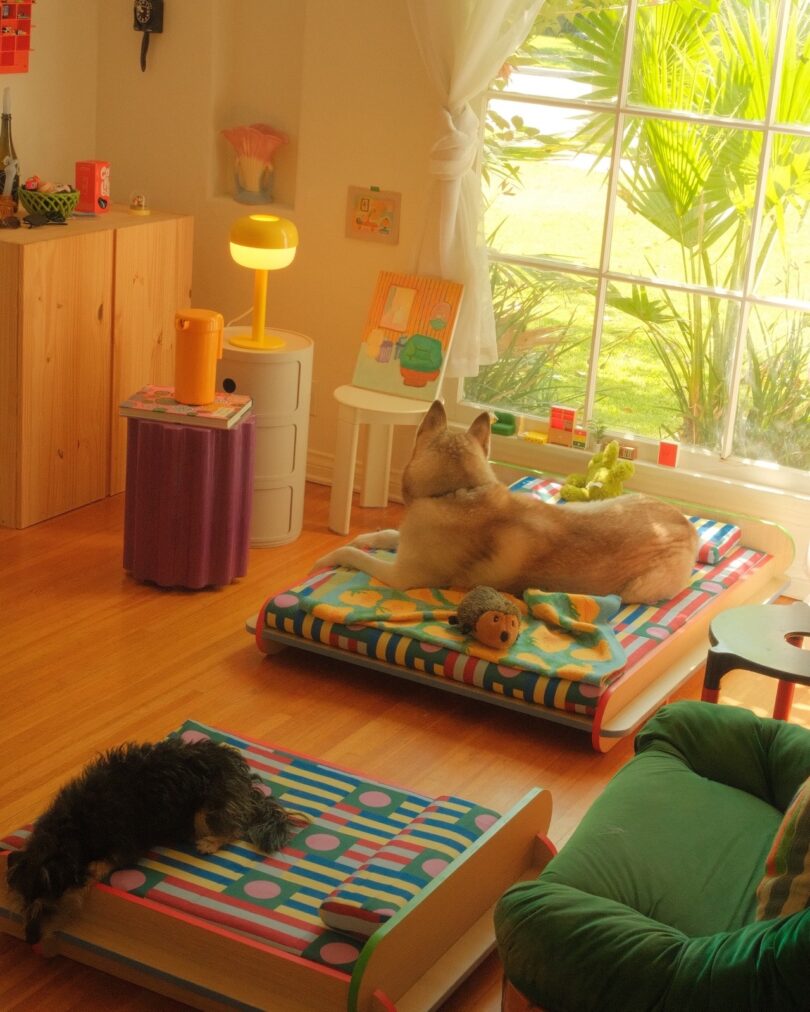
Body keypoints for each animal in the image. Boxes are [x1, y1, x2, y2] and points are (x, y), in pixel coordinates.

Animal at [6, 736, 307, 947]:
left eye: (50, 906)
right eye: (24, 903)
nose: (30, 940)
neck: (74, 829)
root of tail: (243, 778)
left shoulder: (127, 843)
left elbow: (104, 862)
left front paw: (90, 873)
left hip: (205, 809)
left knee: (234, 828)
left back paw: (209, 842)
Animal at [313, 398, 696, 603]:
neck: (459, 492)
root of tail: (690, 528)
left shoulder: (401, 576)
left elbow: (353, 555)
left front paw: (330, 556)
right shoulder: (407, 541)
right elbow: (386, 534)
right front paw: (365, 537)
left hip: (637, 589)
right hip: (581, 506)